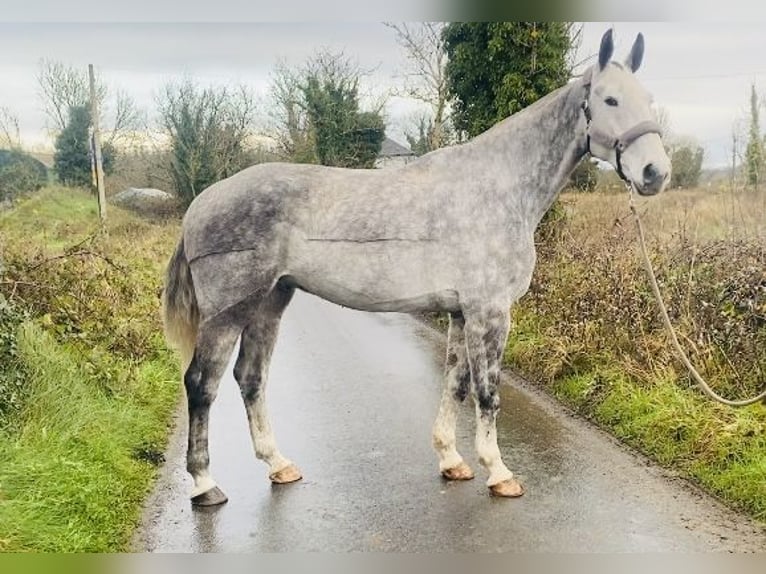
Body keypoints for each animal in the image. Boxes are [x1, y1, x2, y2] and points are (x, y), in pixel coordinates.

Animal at [162, 30, 672, 508]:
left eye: (649, 99)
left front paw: (452, 460)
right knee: (201, 384)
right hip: (228, 313)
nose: (655, 173)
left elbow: (457, 385)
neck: (499, 186)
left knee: (250, 378)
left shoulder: (461, 313)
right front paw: (499, 472)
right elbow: (488, 392)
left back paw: (279, 464)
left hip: (270, 301)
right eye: (610, 99)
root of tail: (201, 203)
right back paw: (205, 484)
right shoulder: (490, 312)